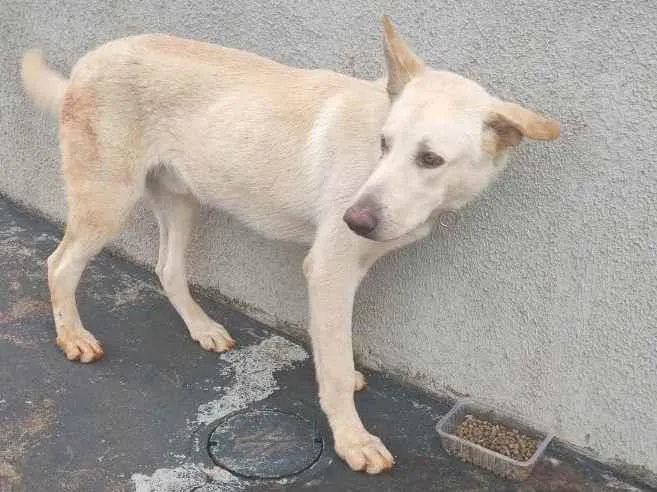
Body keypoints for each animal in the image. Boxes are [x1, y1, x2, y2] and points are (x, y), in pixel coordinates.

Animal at [20, 17, 556, 474]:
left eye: (430, 159)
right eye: (384, 144)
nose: (353, 218)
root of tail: (89, 61)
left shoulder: (349, 271)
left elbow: (337, 344)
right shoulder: (330, 268)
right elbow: (334, 367)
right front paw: (352, 439)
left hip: (181, 202)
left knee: (167, 269)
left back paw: (203, 328)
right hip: (108, 202)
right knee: (58, 264)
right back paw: (73, 336)